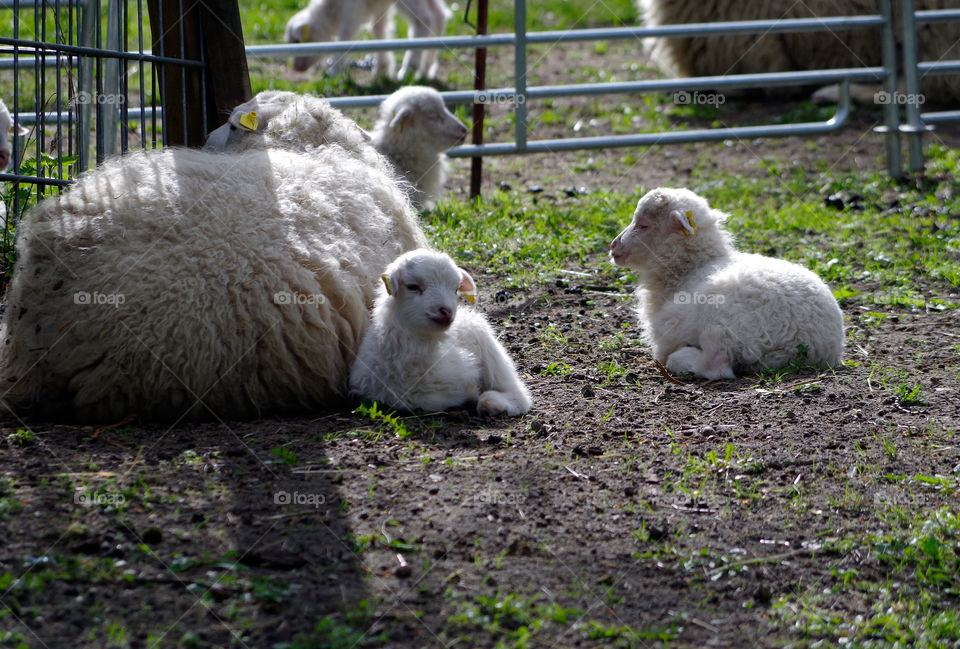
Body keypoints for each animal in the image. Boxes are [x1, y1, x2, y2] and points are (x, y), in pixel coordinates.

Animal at [284, 0, 452, 79]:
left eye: (297, 41)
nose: (296, 68)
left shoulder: (352, 9)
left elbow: (346, 35)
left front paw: (333, 71)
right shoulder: (379, 8)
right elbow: (379, 30)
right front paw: (382, 69)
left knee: (424, 19)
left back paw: (409, 69)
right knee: (439, 15)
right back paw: (426, 68)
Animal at [612, 186, 844, 380]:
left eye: (643, 225)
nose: (613, 246)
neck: (690, 268)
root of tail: (806, 341)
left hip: (724, 323)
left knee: (716, 366)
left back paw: (683, 358)